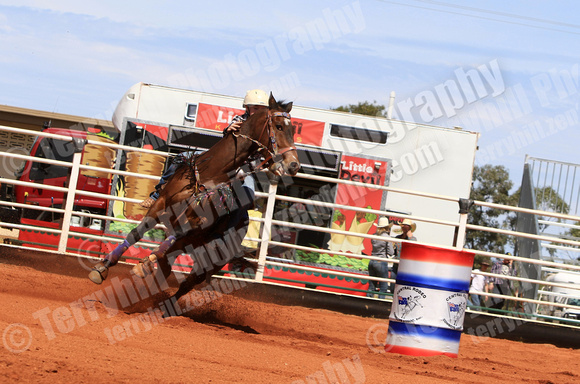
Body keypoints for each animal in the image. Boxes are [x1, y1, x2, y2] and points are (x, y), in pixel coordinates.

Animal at [90, 92, 300, 304]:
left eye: (292, 129)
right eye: (279, 126)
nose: (294, 165)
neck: (210, 173)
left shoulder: (199, 220)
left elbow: (178, 231)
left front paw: (144, 263)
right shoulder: (160, 205)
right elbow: (135, 233)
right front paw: (102, 267)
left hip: (212, 259)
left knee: (187, 282)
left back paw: (165, 303)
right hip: (184, 248)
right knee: (165, 268)